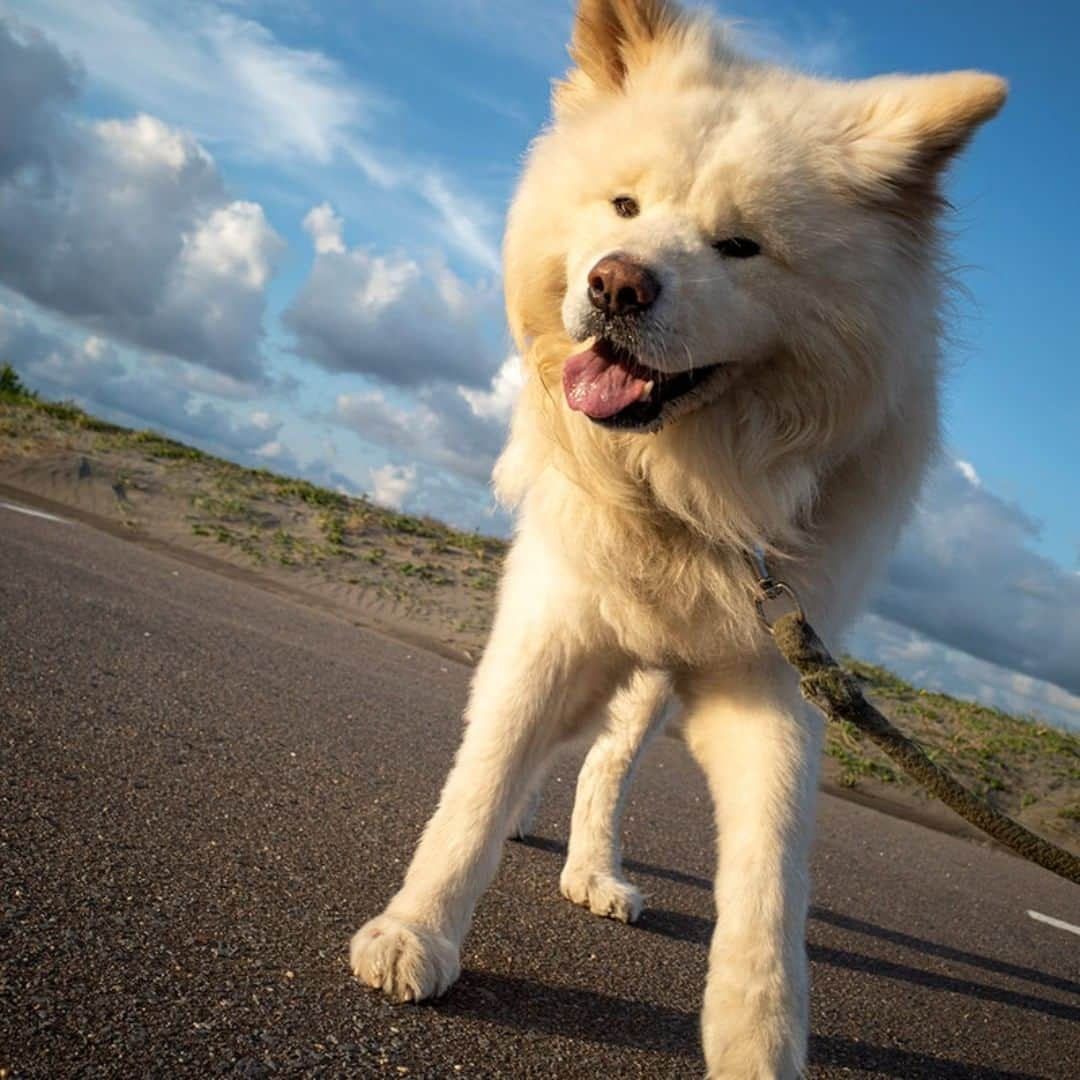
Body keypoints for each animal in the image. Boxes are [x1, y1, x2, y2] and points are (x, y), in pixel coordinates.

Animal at [347, 2, 1002, 1071]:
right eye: (623, 206)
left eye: (740, 245)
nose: (617, 285)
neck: (687, 494)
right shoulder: (552, 625)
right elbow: (478, 786)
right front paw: (416, 933)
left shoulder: (772, 685)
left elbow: (770, 891)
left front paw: (758, 1045)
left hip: (651, 688)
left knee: (604, 770)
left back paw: (593, 870)